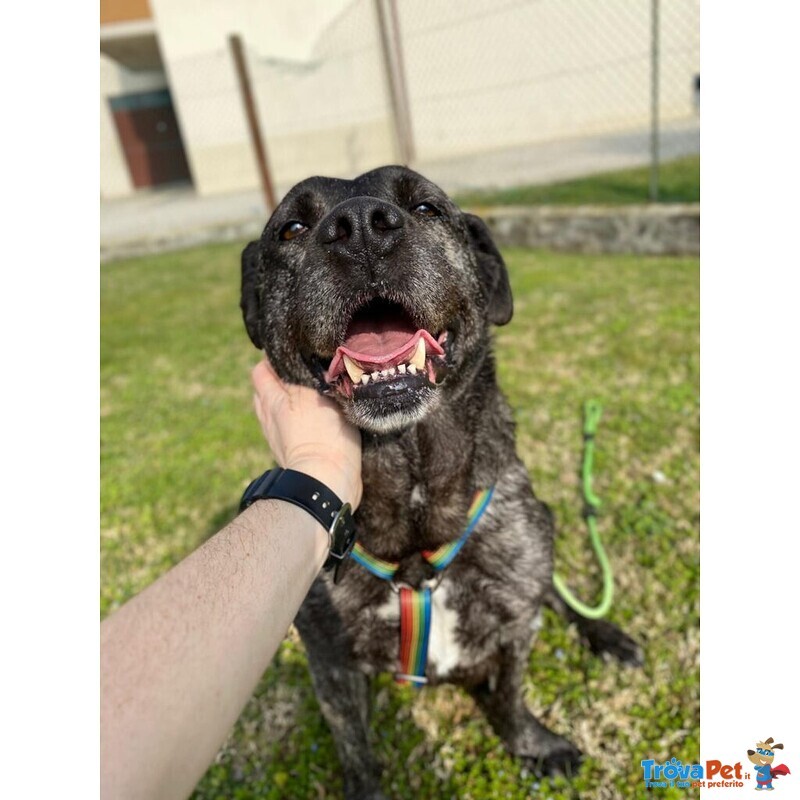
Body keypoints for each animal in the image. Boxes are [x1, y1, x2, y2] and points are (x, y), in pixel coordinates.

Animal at [239, 164, 644, 800]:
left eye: (426, 208)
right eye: (293, 228)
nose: (359, 225)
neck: (414, 480)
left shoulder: (516, 616)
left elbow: (510, 695)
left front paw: (533, 743)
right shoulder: (331, 663)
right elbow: (356, 750)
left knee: (560, 593)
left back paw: (608, 636)